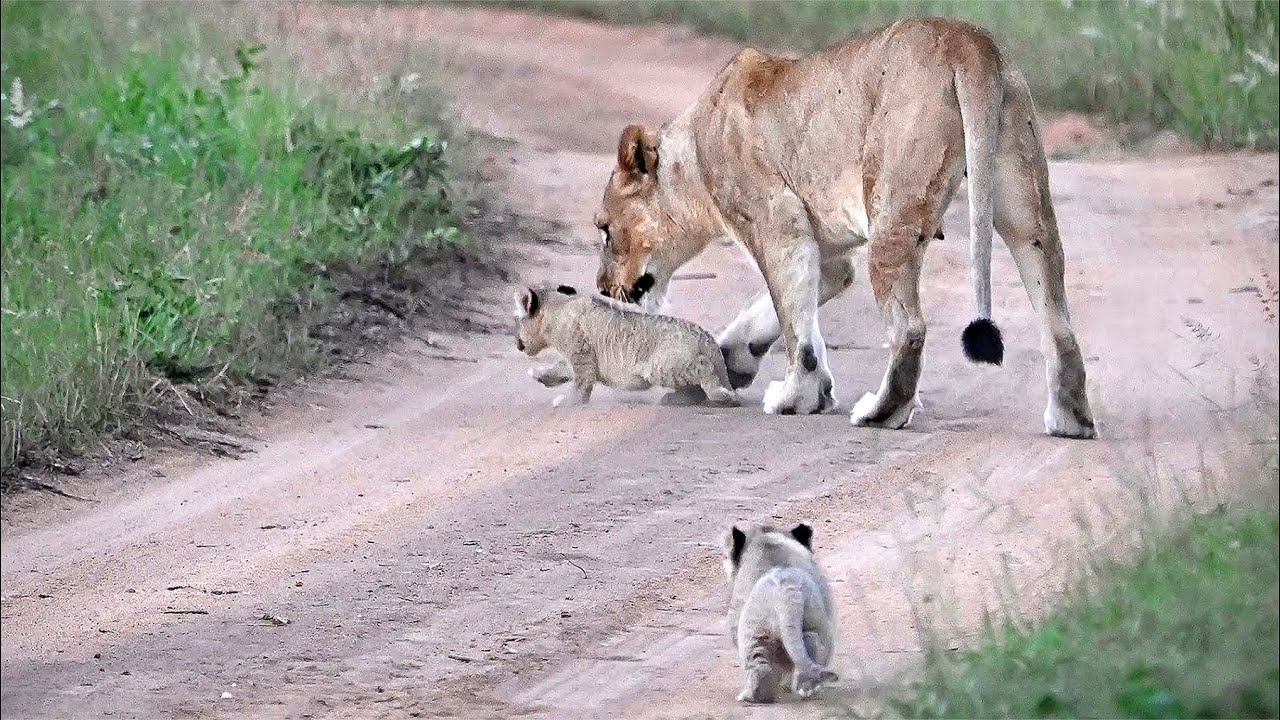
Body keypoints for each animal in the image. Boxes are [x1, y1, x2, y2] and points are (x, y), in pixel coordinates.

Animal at [592, 17, 1097, 438]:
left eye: (604, 229)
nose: (600, 286)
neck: (694, 154)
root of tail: (967, 42)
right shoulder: (827, 253)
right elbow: (785, 312)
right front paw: (737, 360)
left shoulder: (778, 226)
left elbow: (794, 323)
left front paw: (796, 397)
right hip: (1023, 200)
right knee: (1059, 322)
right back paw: (1071, 421)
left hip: (892, 212)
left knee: (909, 328)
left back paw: (880, 412)